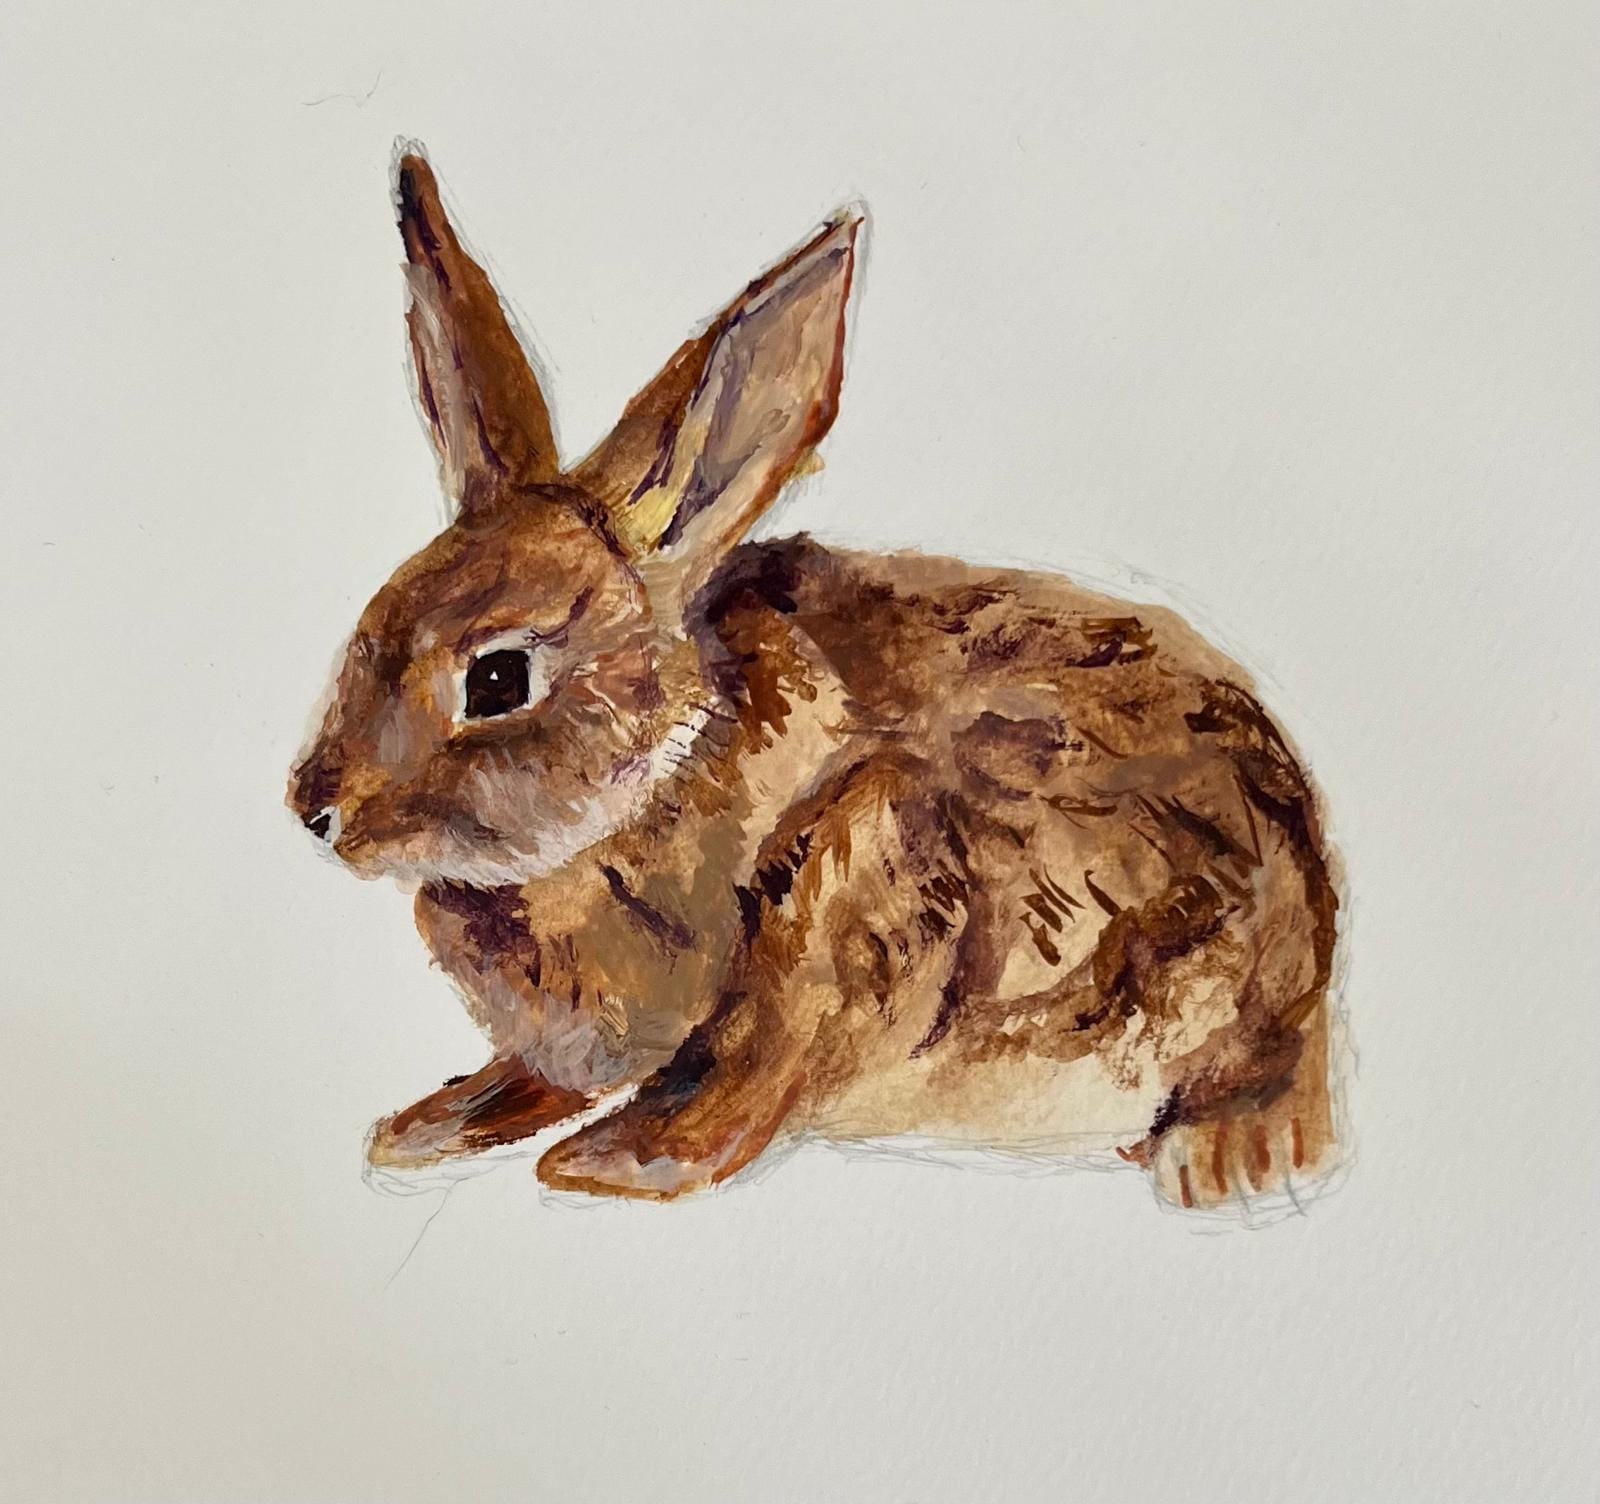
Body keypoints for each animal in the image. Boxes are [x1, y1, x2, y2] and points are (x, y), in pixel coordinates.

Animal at [288, 147, 1341, 1208]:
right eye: (371, 619)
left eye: (499, 680)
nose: (313, 809)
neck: (657, 775)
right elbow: (540, 1079)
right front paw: (427, 1127)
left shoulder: (860, 897)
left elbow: (754, 1067)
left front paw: (613, 1161)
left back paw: (1227, 1160)